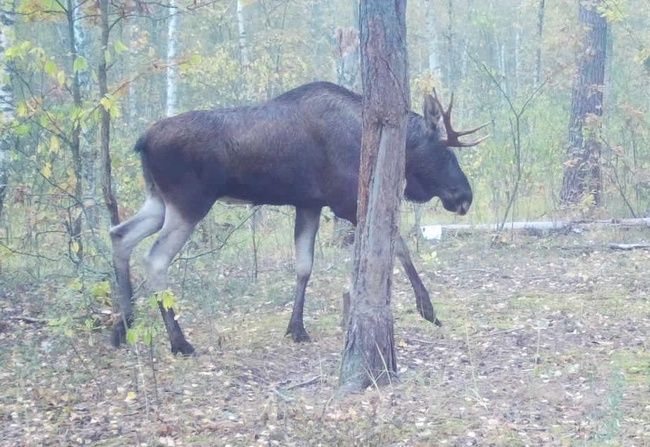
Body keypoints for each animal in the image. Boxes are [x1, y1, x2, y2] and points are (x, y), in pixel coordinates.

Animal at [111, 79, 484, 354]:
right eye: (445, 152)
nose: (464, 196)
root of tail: (142, 141)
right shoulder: (346, 202)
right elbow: (398, 245)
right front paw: (427, 308)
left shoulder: (309, 204)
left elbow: (304, 266)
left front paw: (296, 328)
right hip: (188, 203)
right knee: (155, 258)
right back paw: (179, 342)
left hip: (159, 201)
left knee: (119, 235)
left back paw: (122, 327)